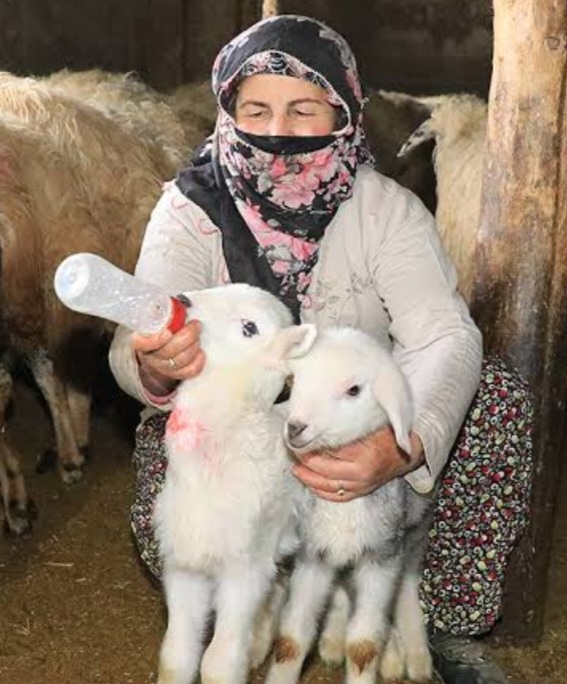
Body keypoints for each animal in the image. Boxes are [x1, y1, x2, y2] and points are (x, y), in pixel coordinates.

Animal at [153, 282, 318, 684]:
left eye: (249, 328)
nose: (184, 300)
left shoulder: (243, 568)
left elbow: (219, 662)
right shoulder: (184, 564)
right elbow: (176, 655)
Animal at [264, 328, 432, 684]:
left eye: (354, 390)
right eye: (294, 381)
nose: (295, 428)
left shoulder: (381, 557)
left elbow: (363, 646)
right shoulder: (314, 554)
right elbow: (291, 640)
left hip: (414, 533)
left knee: (406, 589)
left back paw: (414, 656)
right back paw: (332, 639)